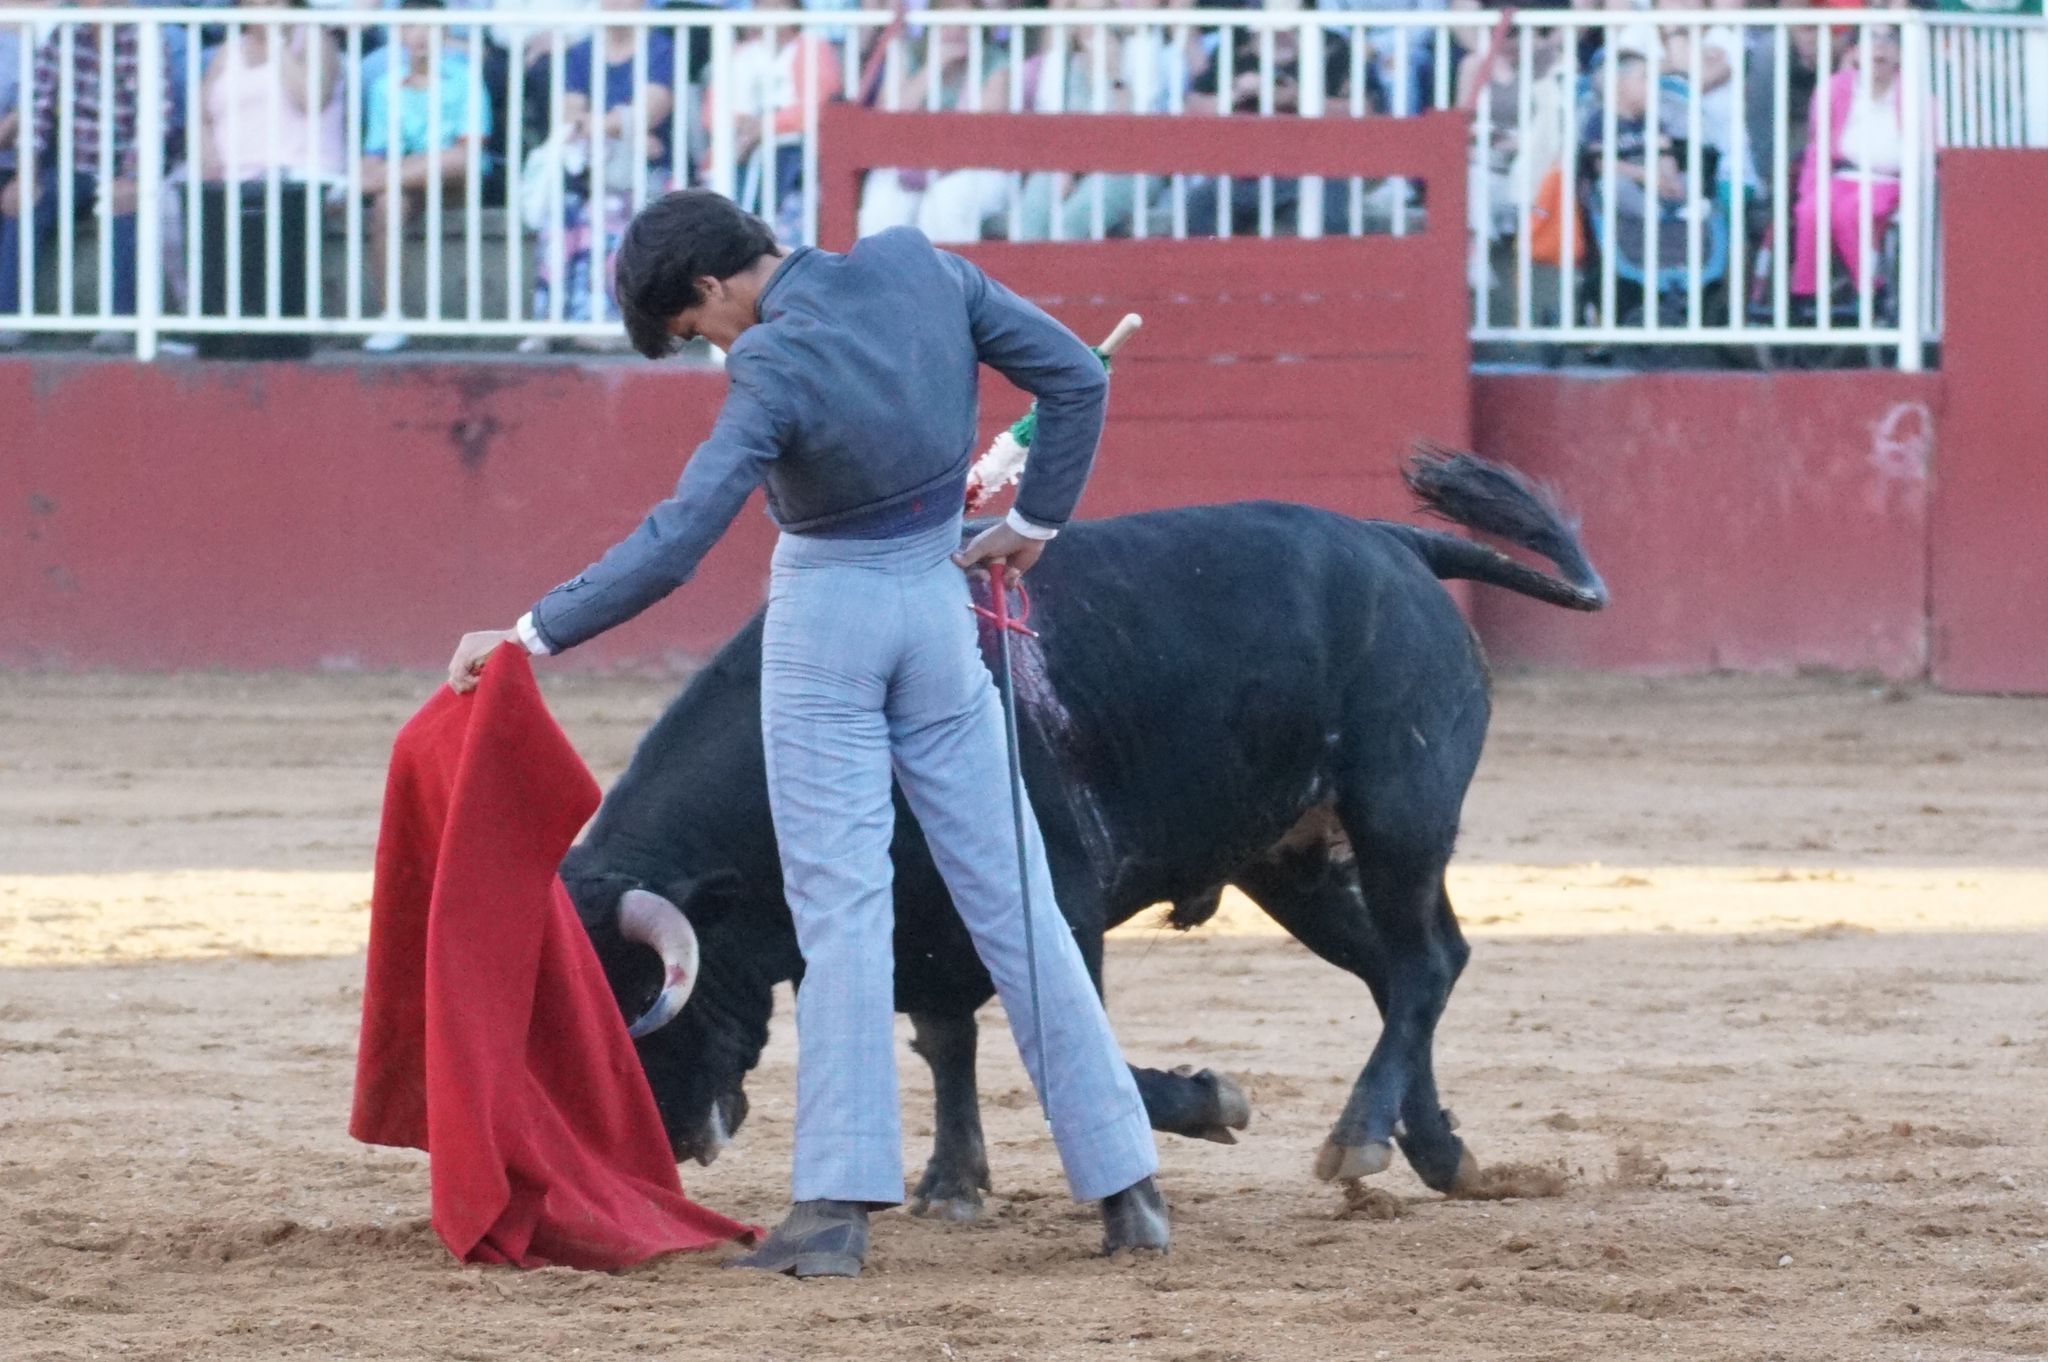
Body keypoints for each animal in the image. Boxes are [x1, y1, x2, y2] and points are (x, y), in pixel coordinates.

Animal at [561, 450, 1597, 1204]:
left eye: (648, 1000)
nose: (671, 1140)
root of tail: (1395, 544)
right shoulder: (919, 930)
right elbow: (948, 1042)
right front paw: (950, 1184)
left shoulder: (1055, 904)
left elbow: (1063, 1050)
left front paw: (1211, 1098)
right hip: (1293, 862)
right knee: (1397, 973)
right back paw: (1435, 1153)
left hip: (1399, 813)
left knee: (1426, 962)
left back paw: (1359, 1140)